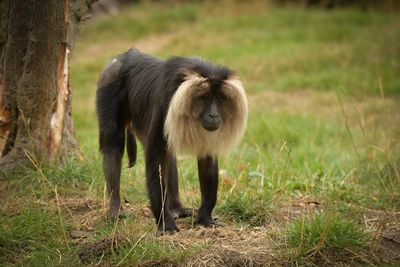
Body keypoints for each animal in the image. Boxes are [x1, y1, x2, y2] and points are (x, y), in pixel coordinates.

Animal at [97, 48, 247, 237]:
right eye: (205, 97)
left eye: (219, 97)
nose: (213, 115)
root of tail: (123, 56)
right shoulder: (164, 106)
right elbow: (154, 159)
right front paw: (165, 224)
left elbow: (206, 159)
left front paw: (205, 218)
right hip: (108, 83)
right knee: (113, 144)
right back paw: (116, 210)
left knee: (169, 155)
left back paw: (176, 209)